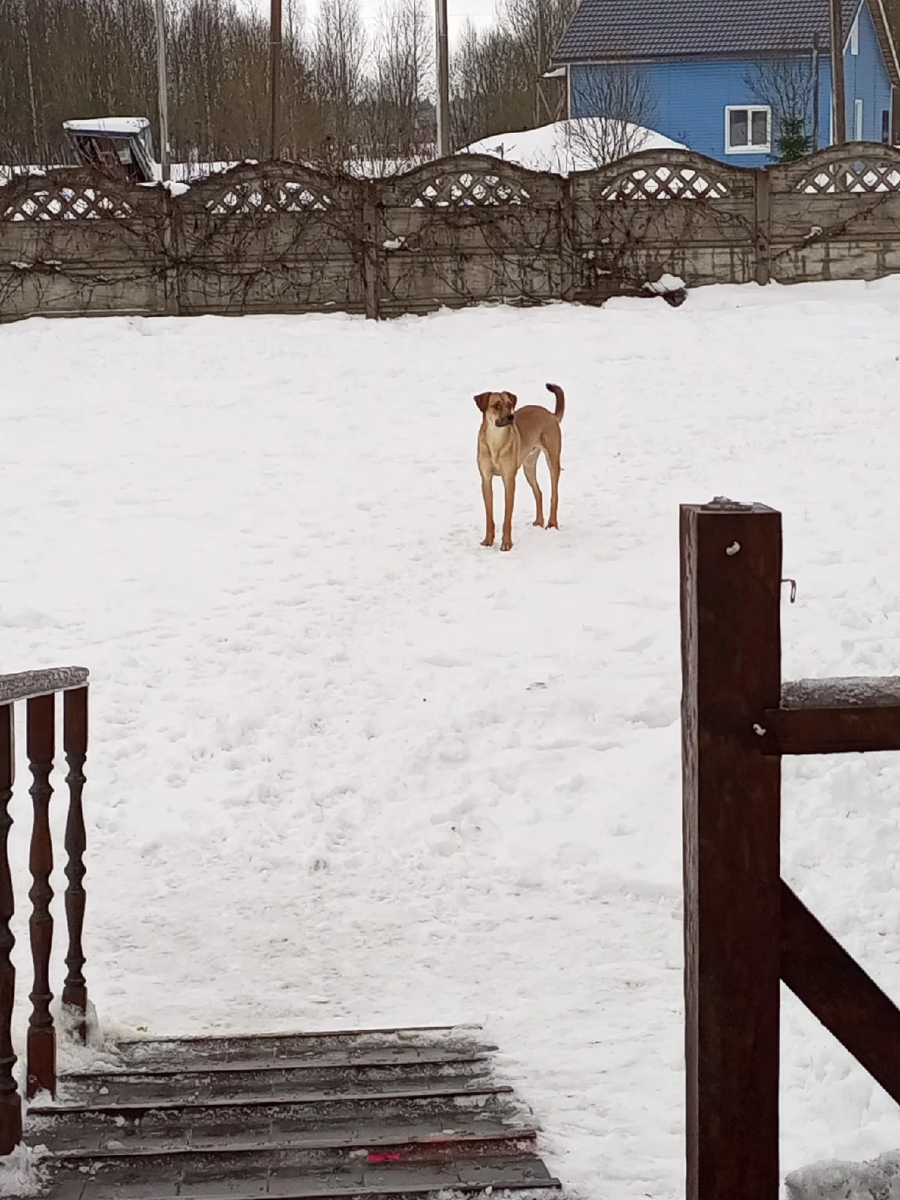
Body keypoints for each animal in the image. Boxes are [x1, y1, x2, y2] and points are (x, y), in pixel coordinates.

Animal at [474, 383, 565, 552]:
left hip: (553, 460)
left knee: (554, 494)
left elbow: (507, 516)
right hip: (528, 465)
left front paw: (506, 543)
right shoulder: (486, 479)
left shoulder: (509, 479)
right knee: (538, 492)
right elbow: (489, 515)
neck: (495, 441)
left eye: (510, 405)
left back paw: (552, 524)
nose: (511, 417)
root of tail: (550, 414)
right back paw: (539, 521)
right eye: (496, 405)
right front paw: (488, 541)